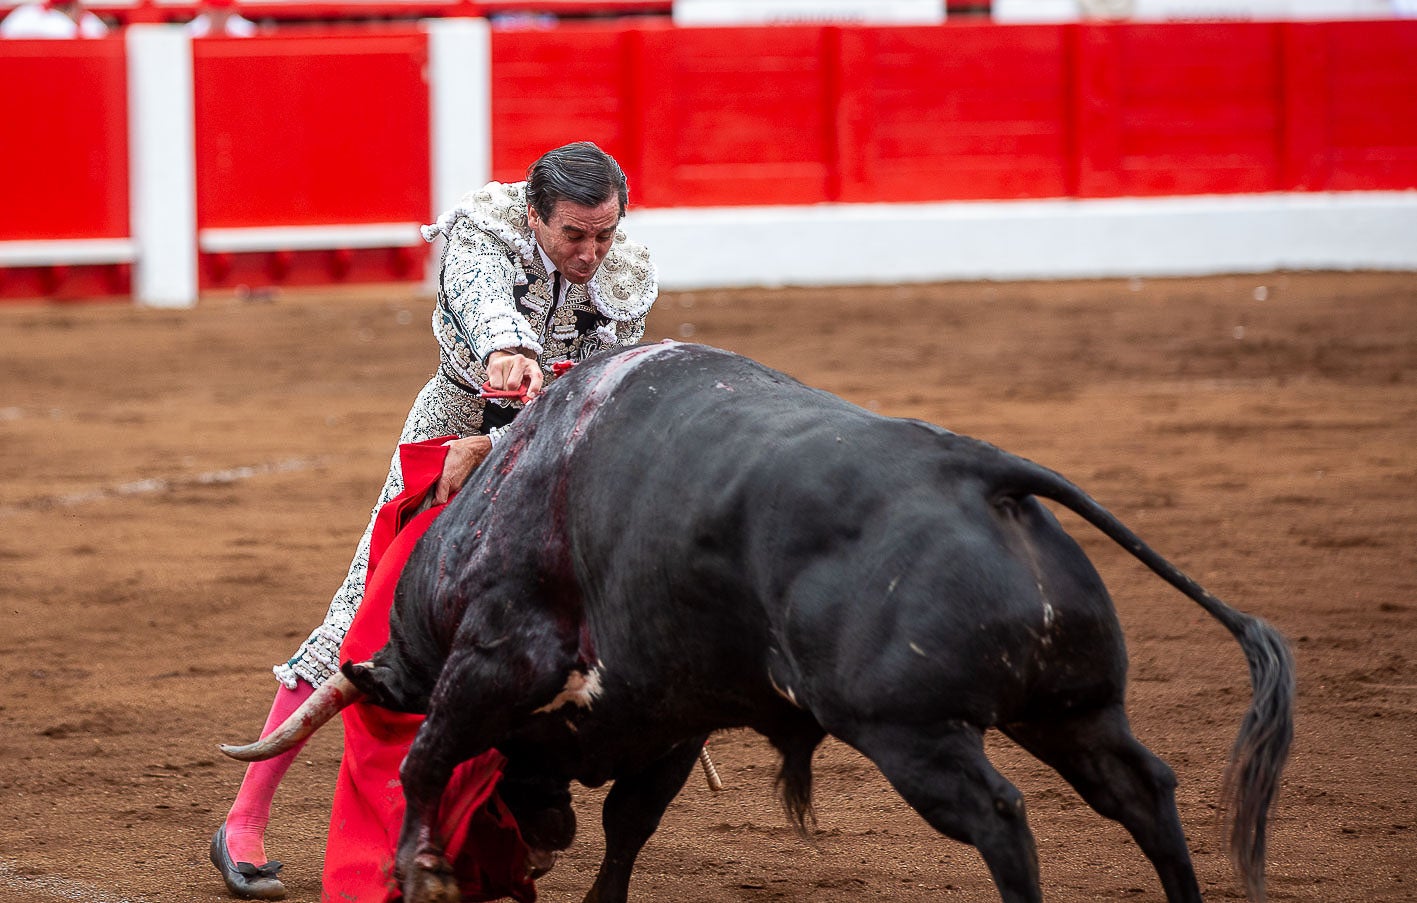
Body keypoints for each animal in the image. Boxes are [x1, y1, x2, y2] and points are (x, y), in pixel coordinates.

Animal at [223, 340, 1297, 901]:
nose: (539, 838)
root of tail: (978, 471)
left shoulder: (493, 660)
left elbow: (423, 758)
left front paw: (421, 870)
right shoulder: (667, 711)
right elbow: (627, 823)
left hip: (912, 731)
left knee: (1001, 816)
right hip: (1069, 708)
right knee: (1142, 790)